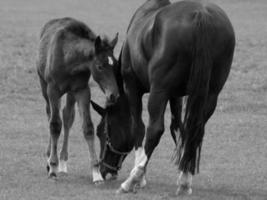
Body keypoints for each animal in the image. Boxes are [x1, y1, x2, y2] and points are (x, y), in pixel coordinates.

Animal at [36, 17, 119, 183]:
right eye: (100, 66)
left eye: (116, 65)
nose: (114, 95)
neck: (68, 56)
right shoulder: (53, 90)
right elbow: (55, 125)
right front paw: (52, 168)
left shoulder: (82, 90)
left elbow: (87, 127)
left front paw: (96, 174)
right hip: (45, 88)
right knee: (51, 116)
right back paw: (50, 160)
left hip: (71, 93)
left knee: (67, 117)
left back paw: (62, 163)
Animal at [92, 0, 237, 194]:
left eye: (102, 131)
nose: (104, 170)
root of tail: (201, 15)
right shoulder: (176, 95)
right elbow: (178, 128)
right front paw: (183, 174)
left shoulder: (133, 88)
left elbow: (139, 128)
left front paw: (140, 176)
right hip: (210, 94)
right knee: (195, 130)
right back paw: (185, 180)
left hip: (159, 91)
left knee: (155, 130)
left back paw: (132, 180)